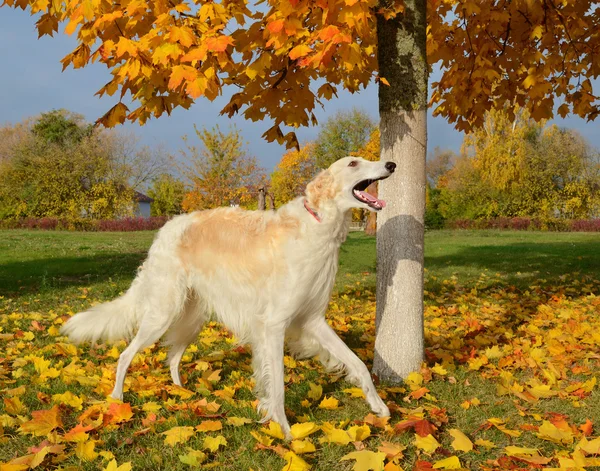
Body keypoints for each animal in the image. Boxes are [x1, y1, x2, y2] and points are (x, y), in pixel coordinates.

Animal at [63, 157, 396, 436]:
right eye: (353, 163)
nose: (391, 164)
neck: (317, 222)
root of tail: (166, 230)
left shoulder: (312, 319)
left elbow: (358, 364)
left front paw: (379, 406)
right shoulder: (273, 324)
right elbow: (278, 385)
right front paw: (285, 431)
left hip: (192, 316)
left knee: (173, 356)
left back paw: (182, 391)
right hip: (163, 313)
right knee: (125, 355)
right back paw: (117, 398)